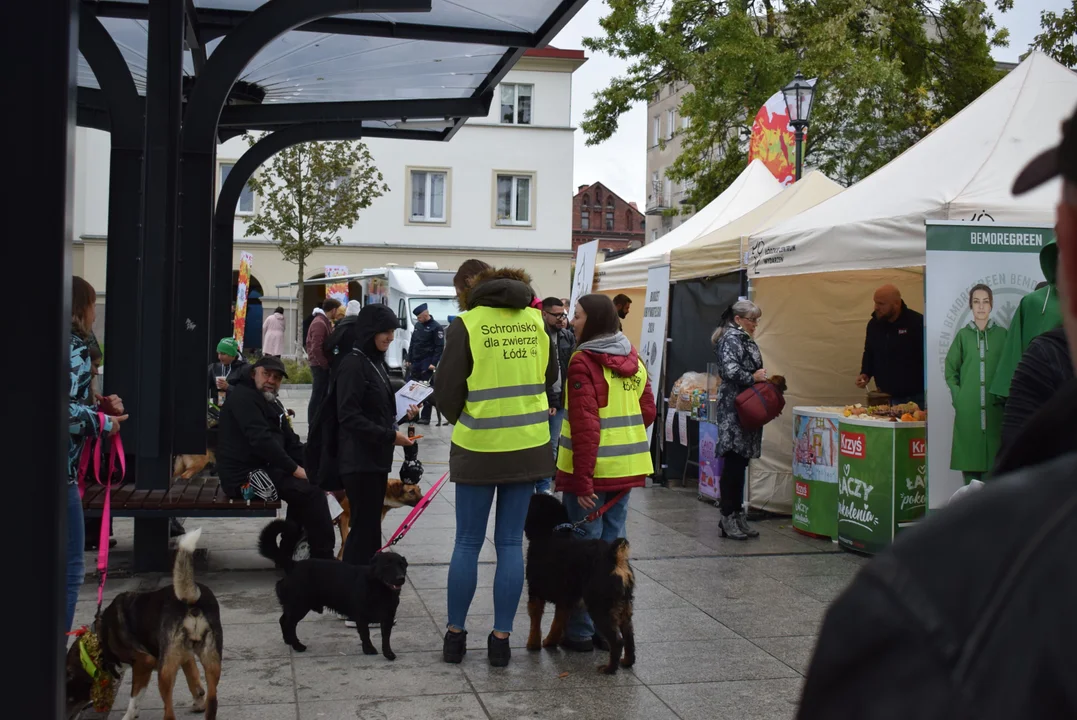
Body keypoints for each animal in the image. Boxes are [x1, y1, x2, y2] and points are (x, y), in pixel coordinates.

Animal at [64, 525, 222, 714]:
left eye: (69, 696)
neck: (100, 637)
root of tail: (191, 600)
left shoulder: (144, 662)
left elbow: (135, 698)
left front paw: (129, 715)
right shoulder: (185, 655)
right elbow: (194, 679)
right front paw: (199, 702)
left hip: (165, 671)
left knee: (168, 709)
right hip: (210, 657)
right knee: (212, 698)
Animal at [259, 518, 407, 658]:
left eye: (402, 565)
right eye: (387, 566)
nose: (401, 578)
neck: (379, 589)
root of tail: (293, 565)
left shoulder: (388, 617)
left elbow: (386, 638)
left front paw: (388, 653)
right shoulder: (361, 616)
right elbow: (365, 634)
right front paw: (369, 649)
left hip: (293, 606)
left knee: (283, 620)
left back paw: (288, 641)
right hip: (299, 606)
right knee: (289, 624)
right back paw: (297, 645)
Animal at [523, 490, 633, 671]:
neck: (552, 532)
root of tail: (614, 558)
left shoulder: (535, 589)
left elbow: (535, 619)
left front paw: (533, 643)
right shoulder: (566, 597)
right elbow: (558, 621)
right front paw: (551, 641)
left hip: (599, 605)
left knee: (617, 641)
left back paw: (609, 668)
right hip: (624, 605)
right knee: (629, 637)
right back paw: (626, 661)